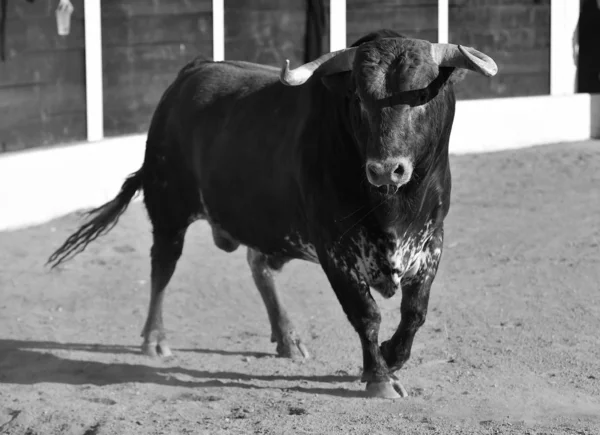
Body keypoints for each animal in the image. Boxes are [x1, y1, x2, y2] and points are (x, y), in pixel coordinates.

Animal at [48, 29, 496, 400]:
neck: (391, 207)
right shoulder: (335, 250)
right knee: (163, 267)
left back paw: (287, 338)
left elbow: (414, 313)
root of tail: (193, 70)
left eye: (422, 98)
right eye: (359, 99)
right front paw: (380, 378)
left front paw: (391, 355)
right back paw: (154, 339)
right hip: (169, 207)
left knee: (258, 263)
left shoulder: (431, 239)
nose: (386, 169)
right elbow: (365, 314)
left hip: (267, 224)